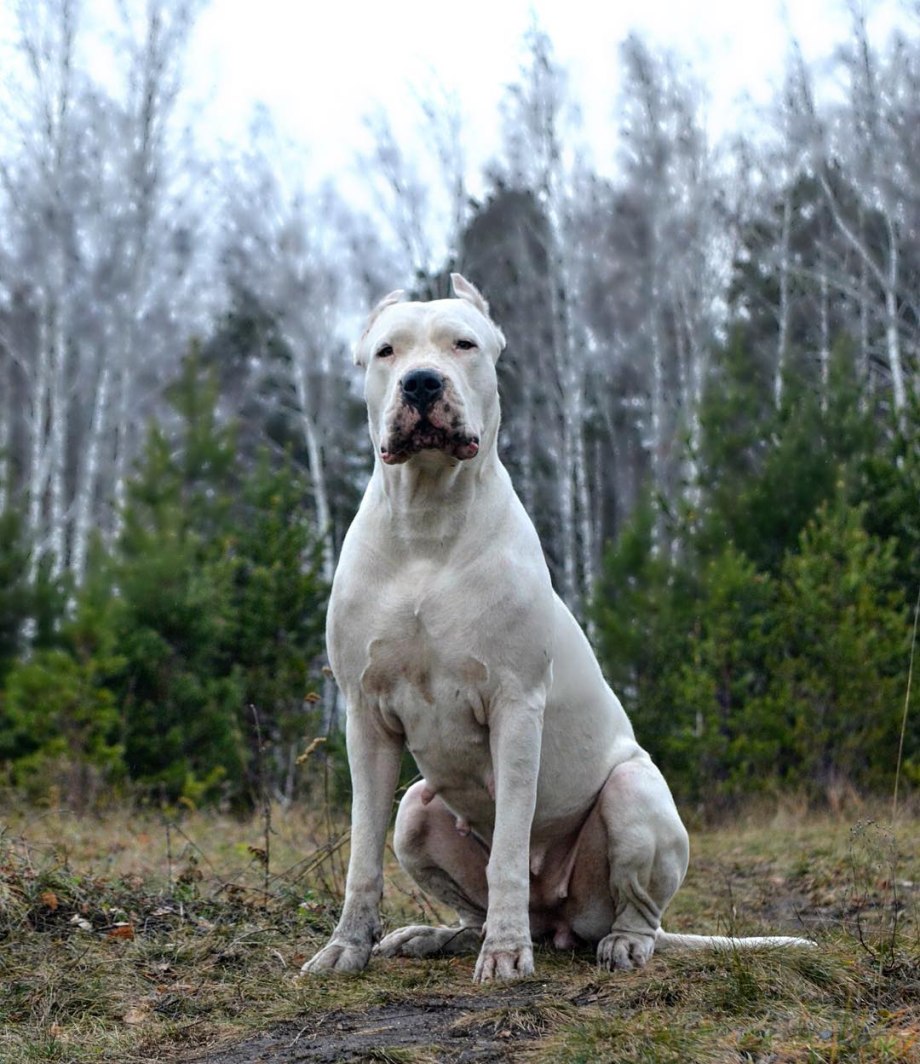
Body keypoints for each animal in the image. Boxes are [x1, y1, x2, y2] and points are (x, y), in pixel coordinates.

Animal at [304, 274, 812, 978]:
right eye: (386, 351)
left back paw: (617, 942)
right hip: (417, 808)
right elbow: (360, 853)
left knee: (635, 909)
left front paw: (504, 954)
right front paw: (347, 946)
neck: (429, 526)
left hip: (631, 793)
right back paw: (438, 934)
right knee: (456, 884)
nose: (423, 383)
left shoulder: (516, 707)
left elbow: (509, 851)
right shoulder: (366, 714)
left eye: (464, 344)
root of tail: (559, 922)